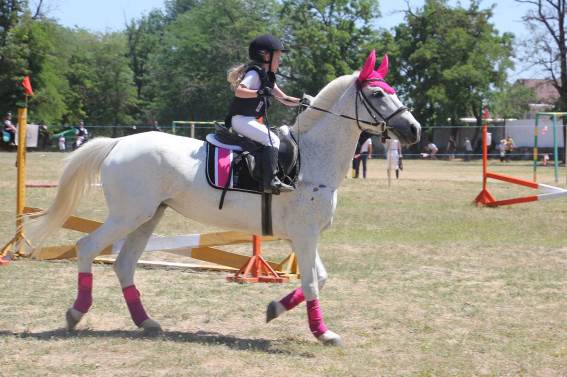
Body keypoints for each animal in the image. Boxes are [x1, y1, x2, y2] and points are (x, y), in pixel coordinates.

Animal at [24, 51, 420, 346]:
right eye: (377, 94)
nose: (412, 130)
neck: (312, 157)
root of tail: (119, 142)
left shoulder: (303, 237)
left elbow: (319, 279)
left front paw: (274, 308)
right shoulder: (305, 236)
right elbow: (310, 283)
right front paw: (323, 333)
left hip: (149, 216)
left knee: (124, 264)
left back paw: (146, 322)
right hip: (128, 215)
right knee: (88, 247)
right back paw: (76, 313)